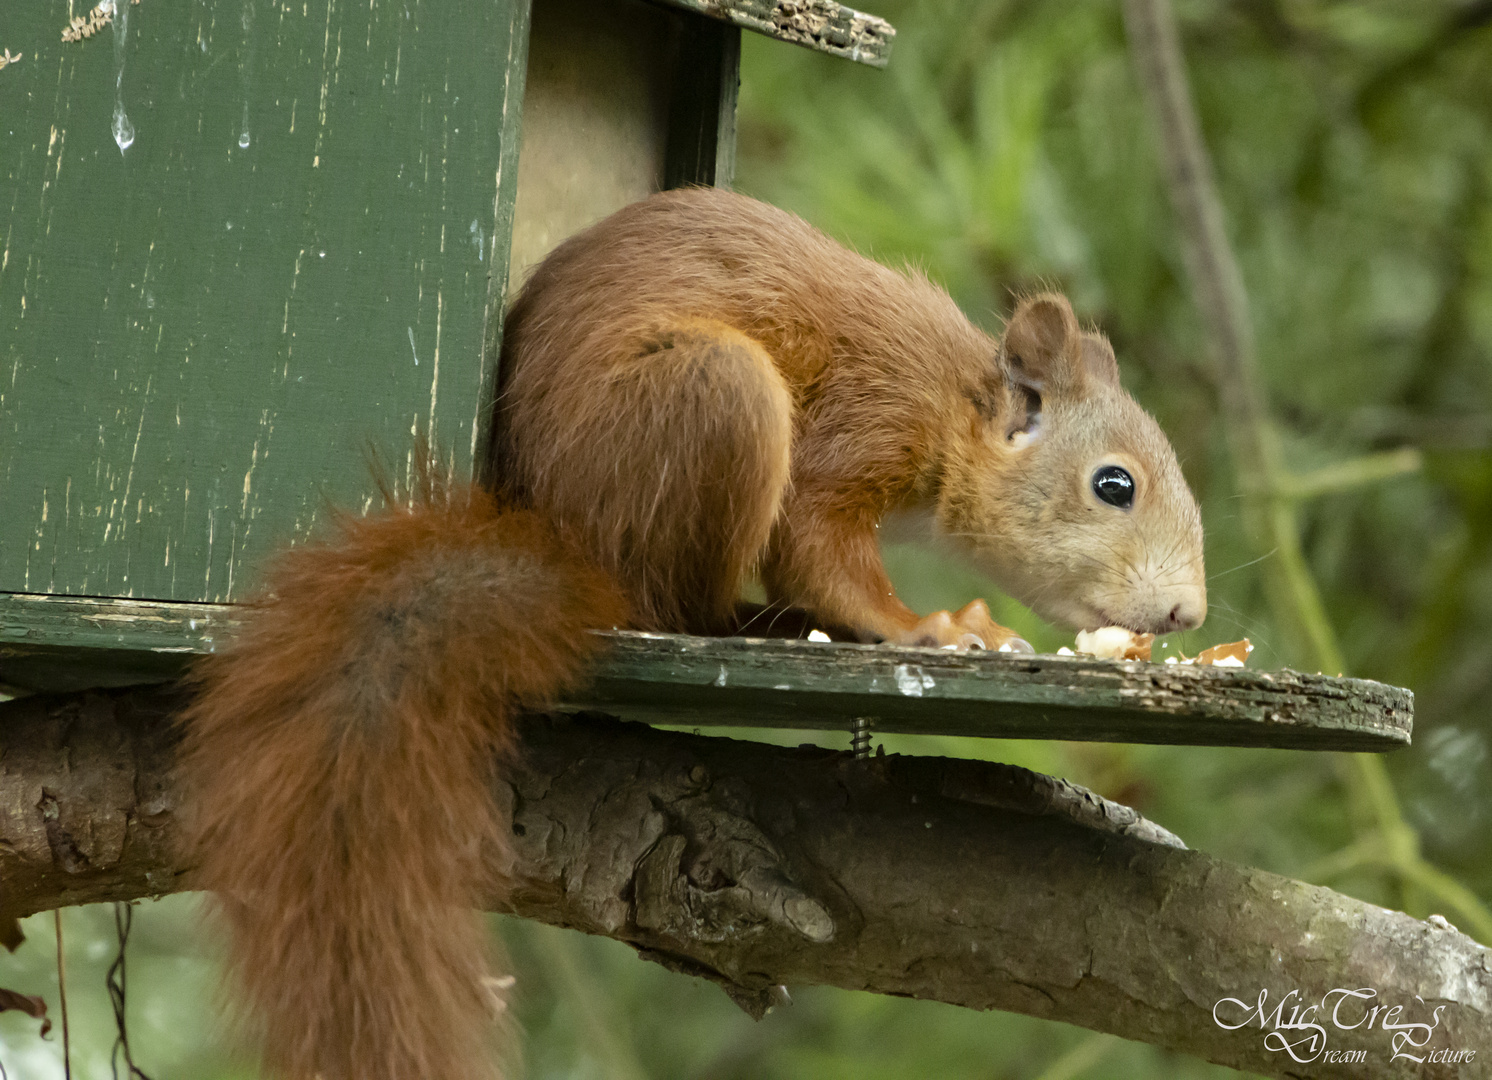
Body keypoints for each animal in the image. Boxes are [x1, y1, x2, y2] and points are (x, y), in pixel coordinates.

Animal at [177, 187, 1199, 1080]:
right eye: (1114, 484)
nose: (1189, 613)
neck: (958, 405)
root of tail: (569, 541)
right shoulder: (866, 422)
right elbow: (816, 546)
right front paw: (927, 625)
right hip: (714, 394)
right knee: (676, 607)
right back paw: (764, 621)